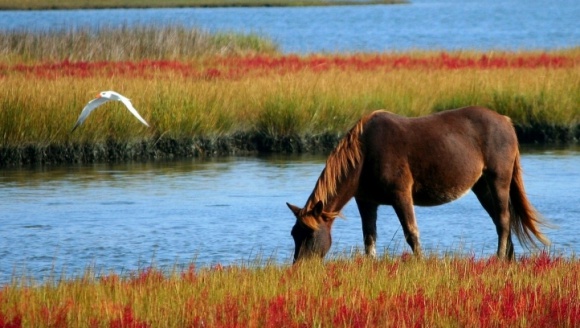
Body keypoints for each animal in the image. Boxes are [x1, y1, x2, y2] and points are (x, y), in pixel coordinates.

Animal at [288, 106, 552, 262]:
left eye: (310, 234)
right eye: (294, 233)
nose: (300, 268)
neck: (364, 154)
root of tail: (506, 121)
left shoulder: (401, 195)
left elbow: (411, 233)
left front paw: (420, 263)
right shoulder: (366, 201)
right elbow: (369, 238)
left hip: (499, 179)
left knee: (504, 221)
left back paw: (499, 259)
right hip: (482, 186)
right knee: (500, 220)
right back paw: (508, 259)